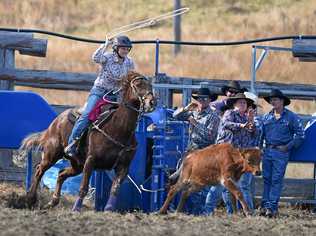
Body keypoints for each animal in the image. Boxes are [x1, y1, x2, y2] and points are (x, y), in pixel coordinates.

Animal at [19, 71, 156, 211]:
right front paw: (76, 209)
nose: (152, 102)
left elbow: (115, 188)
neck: (118, 128)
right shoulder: (91, 160)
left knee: (61, 173)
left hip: (77, 165)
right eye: (138, 85)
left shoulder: (123, 166)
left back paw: (53, 202)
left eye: (150, 85)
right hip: (52, 154)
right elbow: (83, 187)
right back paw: (30, 199)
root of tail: (56, 121)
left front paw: (108, 209)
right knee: (39, 170)